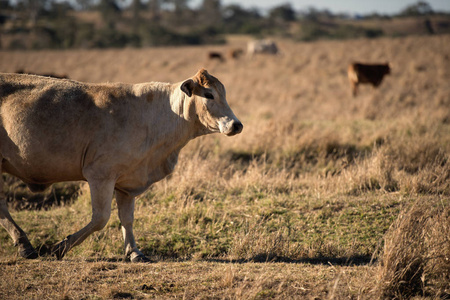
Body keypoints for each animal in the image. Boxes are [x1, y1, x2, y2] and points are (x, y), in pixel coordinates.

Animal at [0, 69, 243, 262]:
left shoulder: (127, 182)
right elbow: (100, 218)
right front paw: (60, 247)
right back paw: (25, 246)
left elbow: (127, 218)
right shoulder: (100, 175)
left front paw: (134, 252)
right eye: (209, 94)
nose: (236, 124)